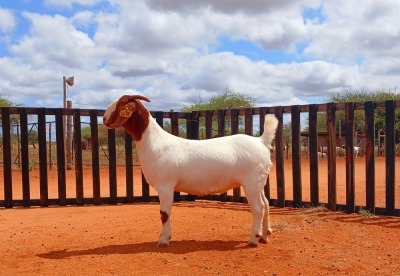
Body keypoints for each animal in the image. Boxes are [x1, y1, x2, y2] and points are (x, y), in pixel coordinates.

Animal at [102, 95, 278, 246]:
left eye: (120, 104)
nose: (103, 119)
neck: (155, 142)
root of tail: (261, 141)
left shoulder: (165, 186)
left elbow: (164, 213)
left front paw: (164, 239)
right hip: (259, 182)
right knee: (266, 204)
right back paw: (265, 236)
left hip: (251, 182)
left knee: (258, 208)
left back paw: (254, 239)